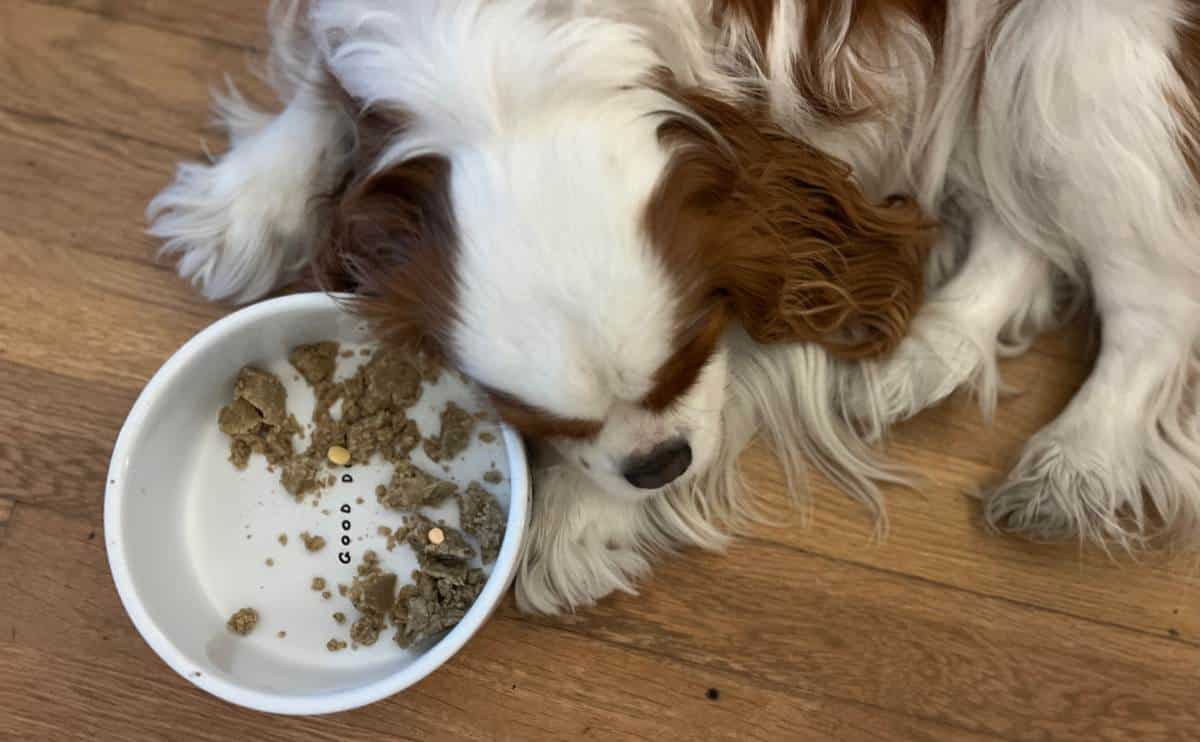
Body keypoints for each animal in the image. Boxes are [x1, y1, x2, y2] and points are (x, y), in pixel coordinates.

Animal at [150, 1, 1200, 612]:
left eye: (695, 350)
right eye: (527, 418)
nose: (658, 465)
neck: (502, 78)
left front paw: (579, 520)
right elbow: (325, 89)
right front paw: (250, 198)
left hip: (1077, 48)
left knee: (1153, 293)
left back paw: (1077, 459)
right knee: (1028, 227)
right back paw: (923, 355)